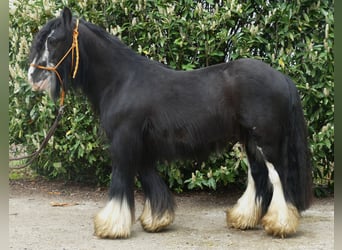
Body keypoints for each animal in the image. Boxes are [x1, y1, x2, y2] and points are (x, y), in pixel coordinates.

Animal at [28, 7, 312, 238]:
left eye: (53, 40)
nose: (33, 76)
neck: (121, 80)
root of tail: (282, 78)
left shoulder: (123, 140)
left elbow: (121, 179)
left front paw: (110, 226)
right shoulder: (142, 145)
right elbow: (149, 179)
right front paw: (157, 220)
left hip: (267, 141)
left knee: (278, 177)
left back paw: (280, 225)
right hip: (250, 141)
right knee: (259, 176)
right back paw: (243, 219)